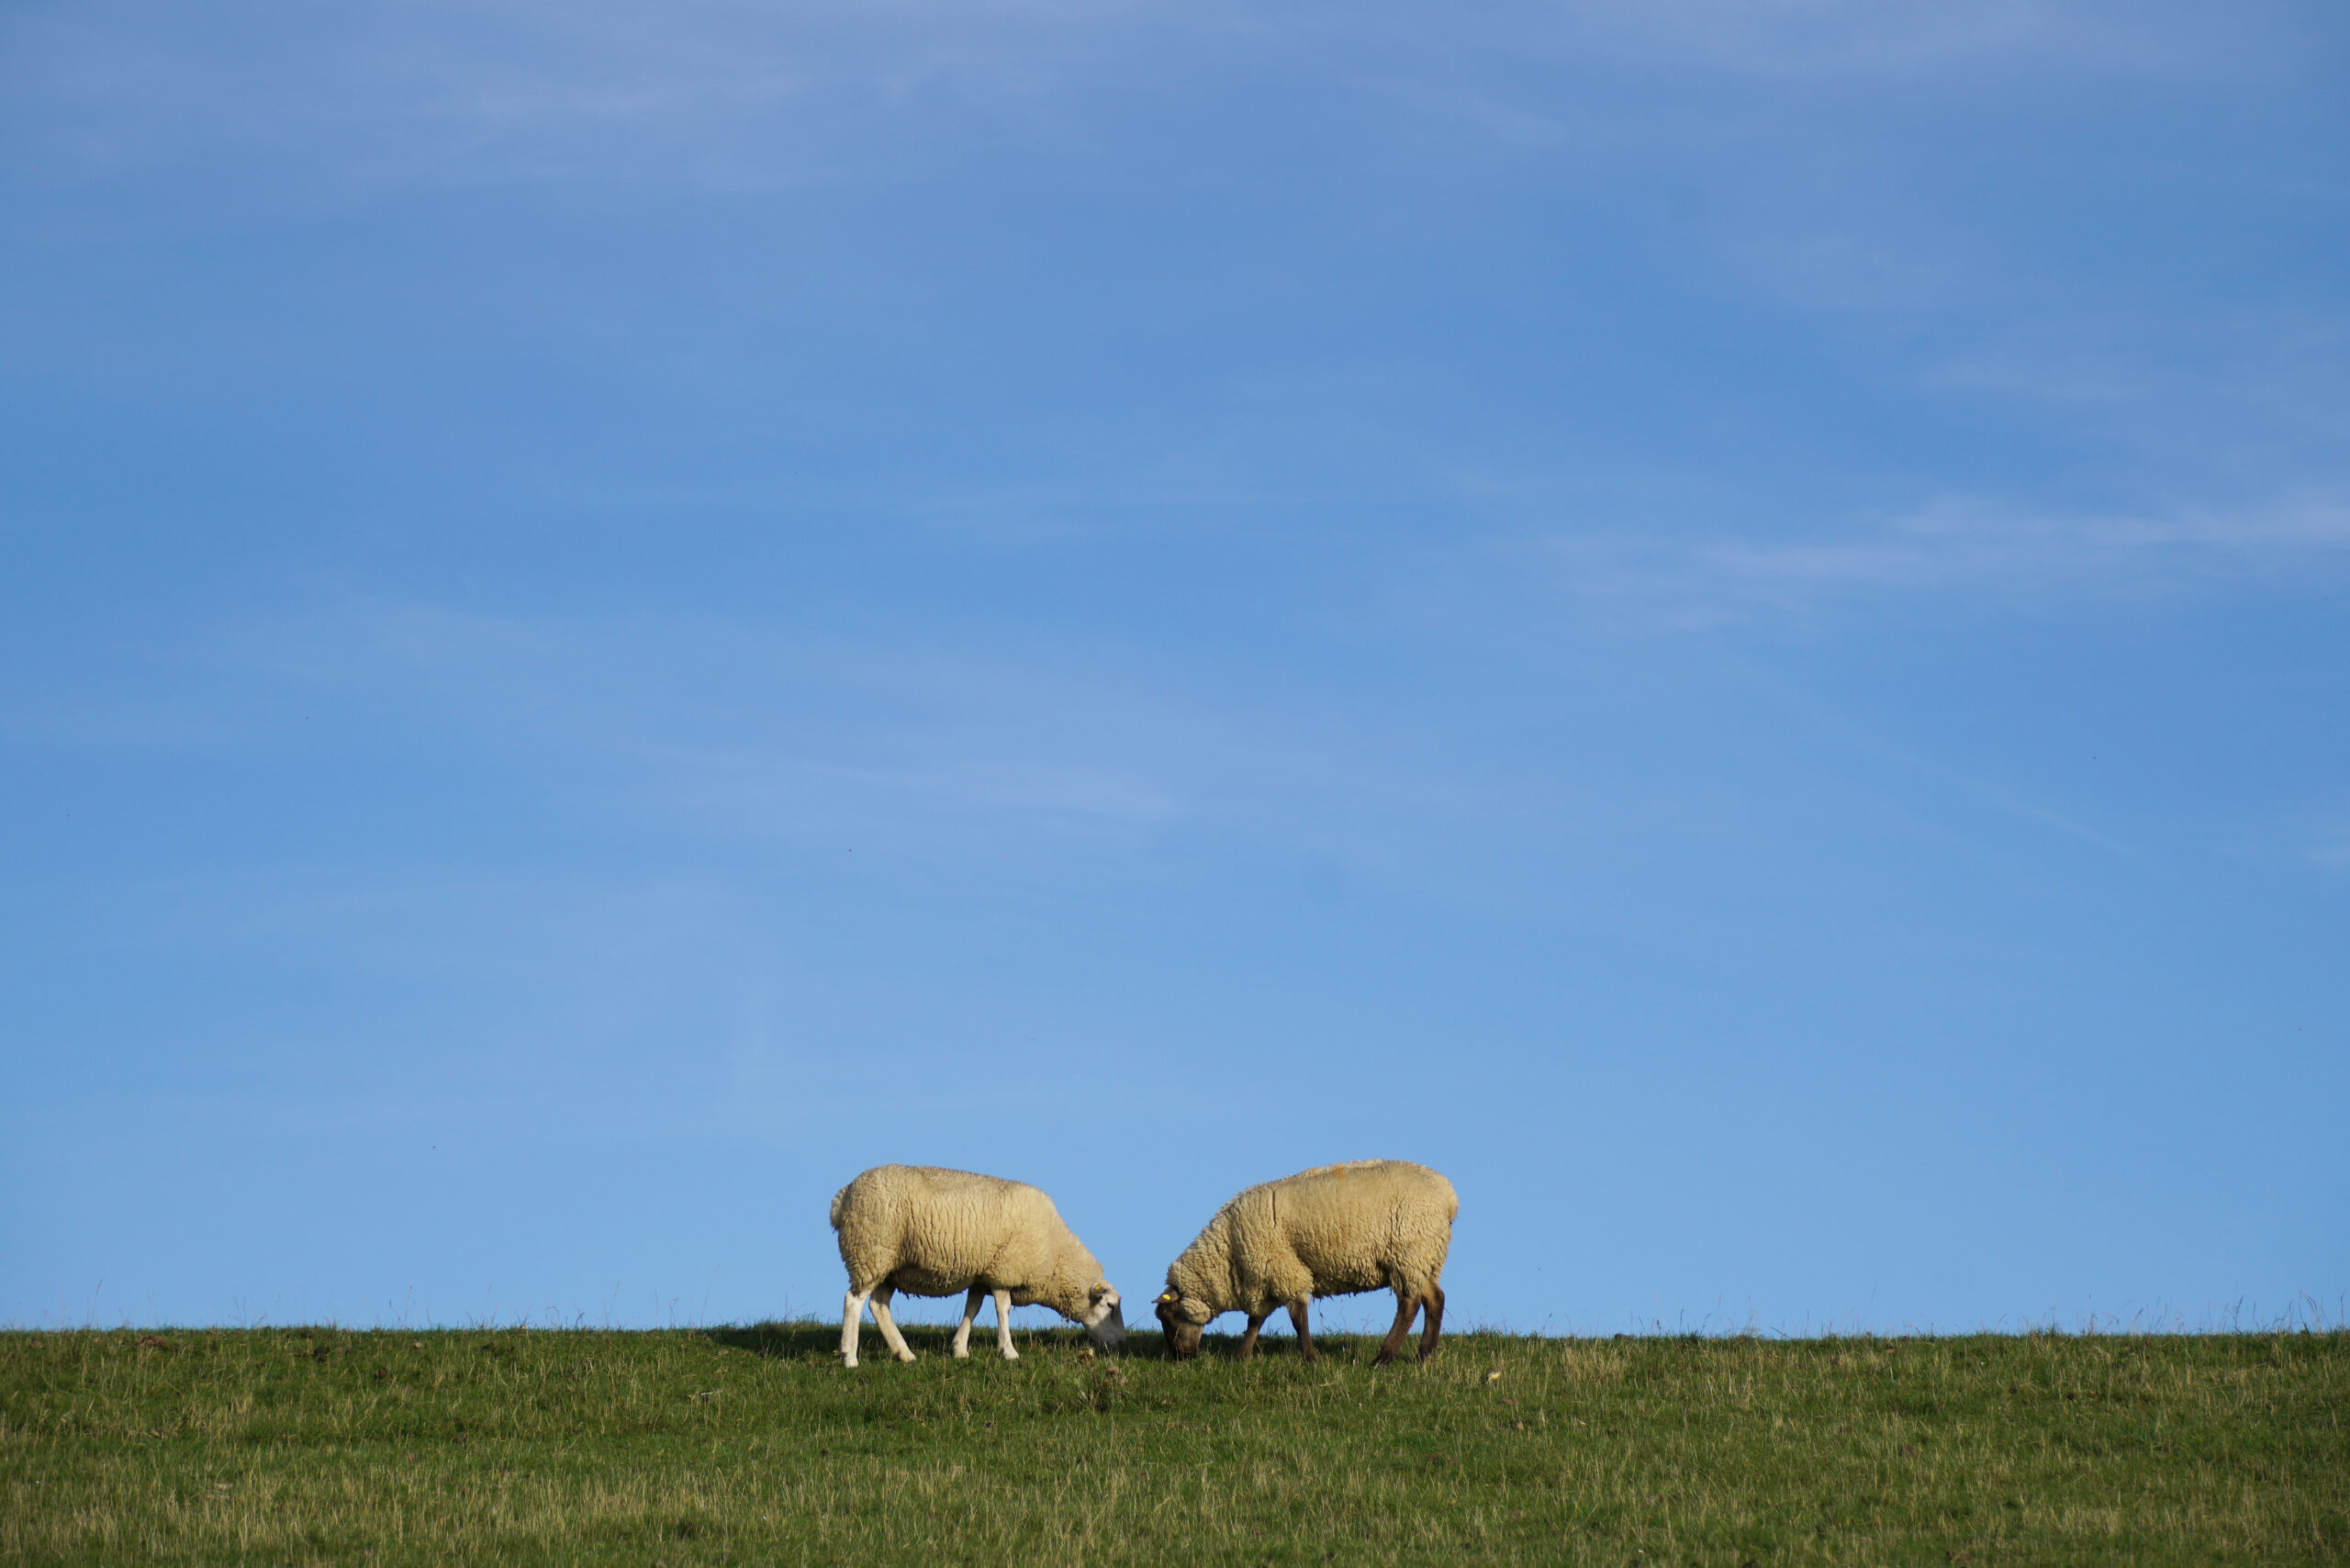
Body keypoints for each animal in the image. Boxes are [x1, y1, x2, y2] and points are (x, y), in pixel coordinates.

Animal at [832, 1166, 1123, 1372]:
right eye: (1110, 1306)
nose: (1121, 1345)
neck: (1055, 1252)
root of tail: (843, 1196)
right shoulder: (1004, 1270)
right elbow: (1003, 1309)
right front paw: (1008, 1351)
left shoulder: (984, 1273)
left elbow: (973, 1307)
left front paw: (960, 1348)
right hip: (870, 1252)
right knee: (853, 1301)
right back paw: (849, 1357)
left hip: (889, 1267)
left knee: (878, 1305)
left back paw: (904, 1354)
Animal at [1151, 1160, 1457, 1363]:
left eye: (1167, 1317)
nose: (1181, 1358)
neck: (1229, 1253)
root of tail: (1448, 1196)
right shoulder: (1267, 1275)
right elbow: (1256, 1320)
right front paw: (1241, 1356)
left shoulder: (1283, 1269)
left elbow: (1297, 1317)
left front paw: (1310, 1357)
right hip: (1423, 1257)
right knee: (1435, 1298)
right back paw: (1423, 1355)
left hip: (1408, 1251)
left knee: (1409, 1304)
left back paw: (1383, 1358)